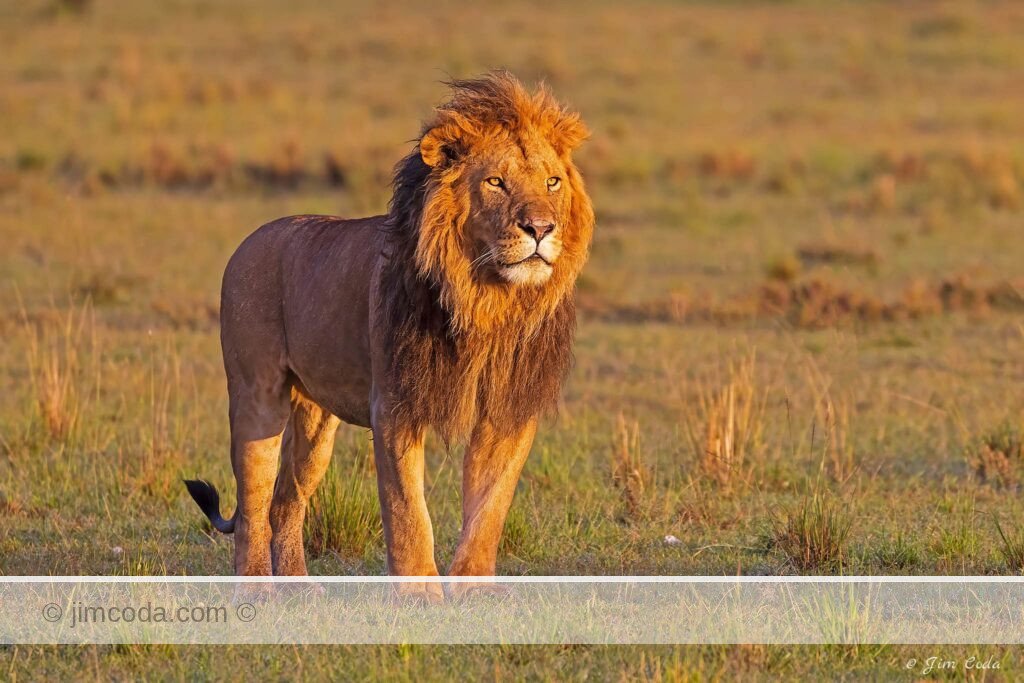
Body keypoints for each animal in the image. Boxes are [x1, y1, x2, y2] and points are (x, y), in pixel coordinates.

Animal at [184, 71, 594, 601]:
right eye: (496, 182)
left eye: (552, 182)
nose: (541, 227)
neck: (488, 302)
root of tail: (251, 239)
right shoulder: (396, 404)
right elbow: (407, 511)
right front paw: (420, 596)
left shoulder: (508, 408)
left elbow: (490, 506)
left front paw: (475, 593)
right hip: (257, 394)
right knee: (253, 502)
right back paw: (257, 591)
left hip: (315, 420)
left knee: (284, 501)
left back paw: (300, 589)